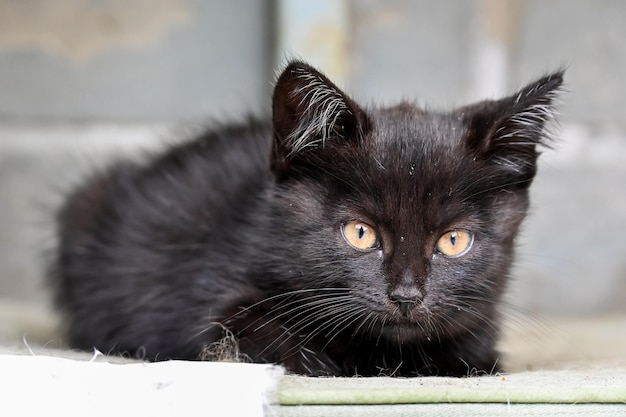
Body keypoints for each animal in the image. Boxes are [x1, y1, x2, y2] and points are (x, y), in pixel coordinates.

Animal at [51, 61, 564, 376]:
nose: (406, 296)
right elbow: (252, 339)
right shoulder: (215, 307)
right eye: (360, 233)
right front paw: (326, 363)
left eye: (454, 241)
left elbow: (471, 356)